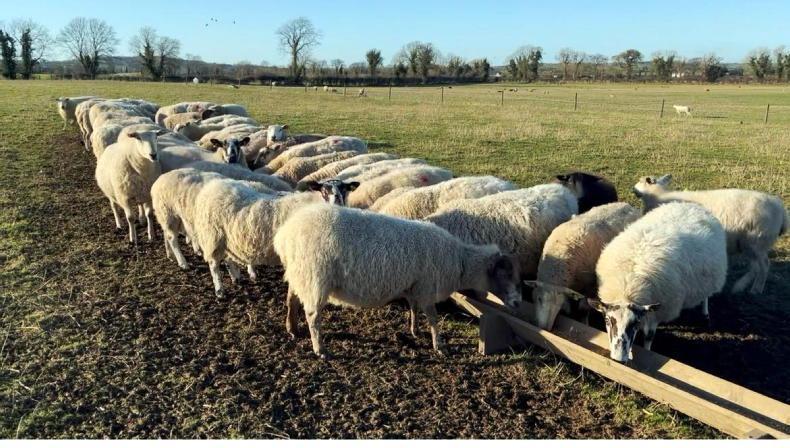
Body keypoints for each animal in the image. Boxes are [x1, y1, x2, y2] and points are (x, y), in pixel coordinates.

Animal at [192, 178, 359, 297]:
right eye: (324, 190)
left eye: (344, 189)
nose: (337, 199)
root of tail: (213, 186)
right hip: (212, 237)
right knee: (214, 265)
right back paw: (220, 291)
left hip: (227, 239)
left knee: (228, 259)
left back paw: (236, 278)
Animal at [273, 204, 522, 357]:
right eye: (505, 274)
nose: (518, 303)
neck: (459, 260)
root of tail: (284, 235)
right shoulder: (427, 287)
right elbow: (433, 318)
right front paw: (439, 345)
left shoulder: (415, 286)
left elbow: (414, 309)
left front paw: (414, 331)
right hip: (316, 276)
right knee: (313, 315)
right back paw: (320, 349)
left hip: (301, 273)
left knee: (291, 298)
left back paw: (292, 329)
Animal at [527, 202, 642, 331]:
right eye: (539, 299)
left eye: (559, 305)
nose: (544, 328)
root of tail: (627, 204)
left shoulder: (590, 287)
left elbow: (583, 309)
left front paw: (584, 324)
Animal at [589, 202, 727, 362]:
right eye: (607, 320)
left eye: (636, 323)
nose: (618, 359)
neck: (628, 286)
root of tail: (691, 204)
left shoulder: (659, 312)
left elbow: (649, 337)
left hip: (711, 277)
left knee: (706, 296)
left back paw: (705, 314)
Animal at [633, 174, 788, 294]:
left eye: (641, 181)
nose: (633, 189)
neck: (659, 195)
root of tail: (780, 208)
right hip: (752, 243)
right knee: (755, 267)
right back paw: (741, 286)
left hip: (757, 241)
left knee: (763, 266)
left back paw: (755, 289)